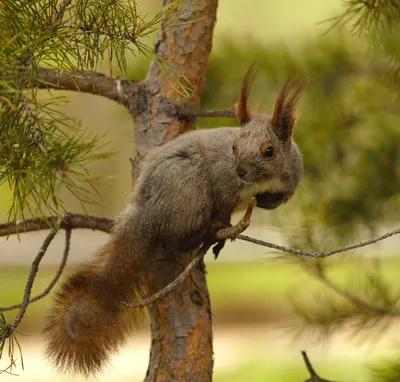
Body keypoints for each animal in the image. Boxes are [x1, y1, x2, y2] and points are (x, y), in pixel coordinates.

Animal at [43, 65, 304, 376]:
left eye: (269, 150)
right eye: (234, 146)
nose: (240, 170)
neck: (259, 183)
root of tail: (146, 208)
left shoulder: (290, 179)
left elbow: (279, 197)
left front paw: (265, 202)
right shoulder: (223, 187)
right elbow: (224, 207)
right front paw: (224, 227)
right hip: (191, 192)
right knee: (179, 239)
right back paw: (208, 233)